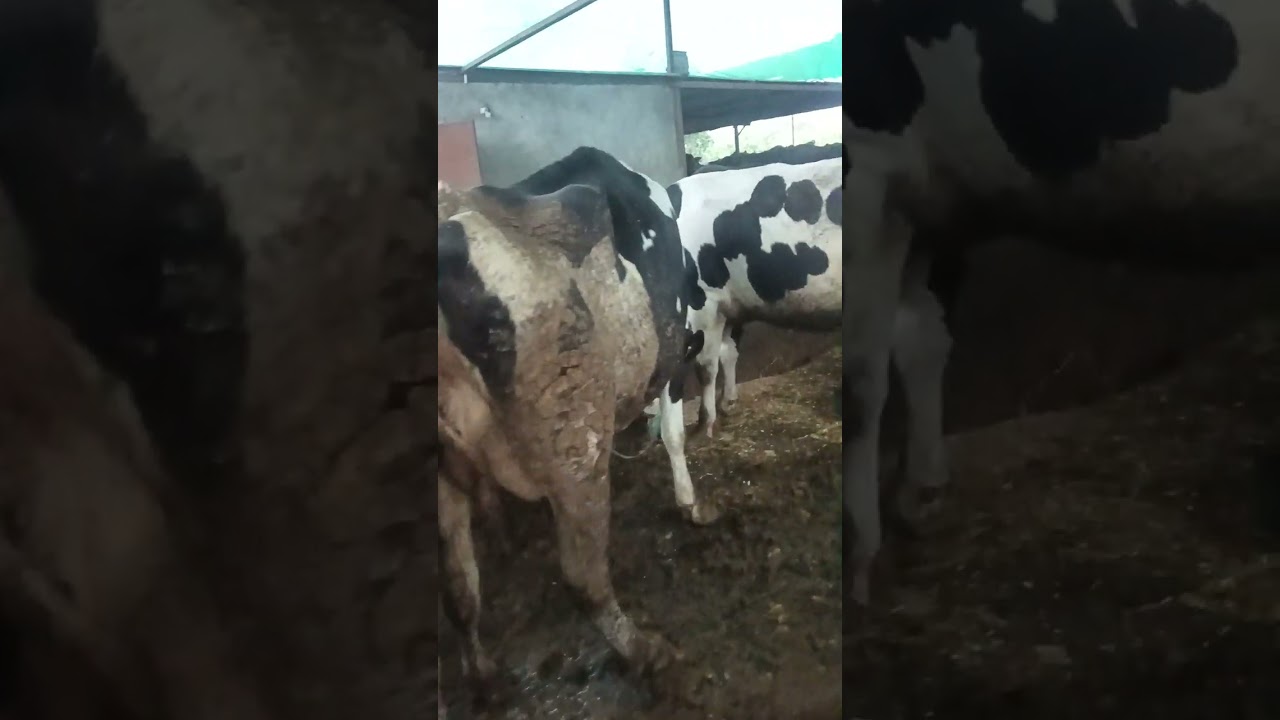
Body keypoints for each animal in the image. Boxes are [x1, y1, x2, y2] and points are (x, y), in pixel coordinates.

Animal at [437, 147, 704, 699]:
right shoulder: (672, 352)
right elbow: (672, 434)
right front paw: (689, 503)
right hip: (572, 436)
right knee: (584, 576)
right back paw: (647, 653)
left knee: (459, 590)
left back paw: (484, 676)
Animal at [842, 0, 1280, 602]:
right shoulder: (932, 195)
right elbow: (922, 339)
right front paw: (919, 494)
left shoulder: (868, 153)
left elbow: (860, 380)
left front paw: (856, 556)